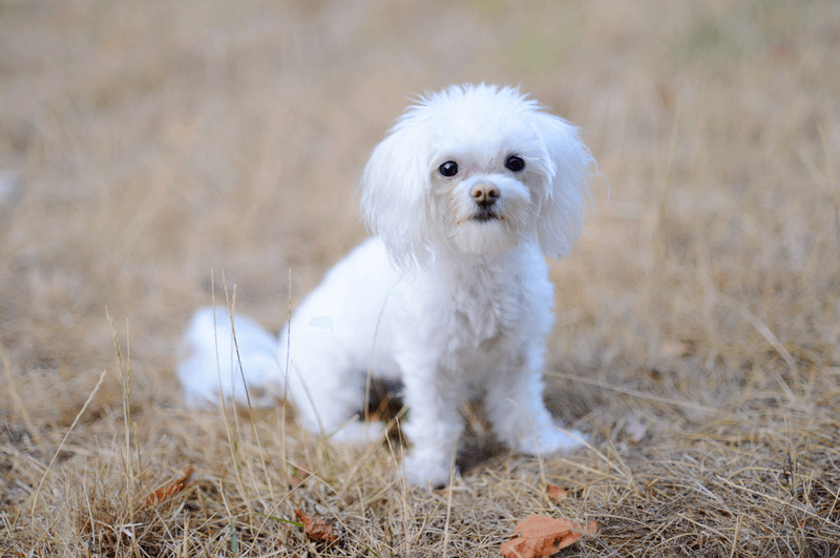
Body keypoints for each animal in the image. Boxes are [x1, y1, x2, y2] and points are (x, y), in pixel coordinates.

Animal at [180, 84, 592, 490]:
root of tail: (279, 360)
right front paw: (430, 472)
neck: (478, 263)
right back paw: (363, 434)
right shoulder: (428, 365)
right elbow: (436, 425)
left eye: (515, 163)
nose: (486, 192)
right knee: (323, 423)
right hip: (336, 381)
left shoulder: (517, 354)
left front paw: (542, 443)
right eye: (448, 168)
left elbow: (522, 407)